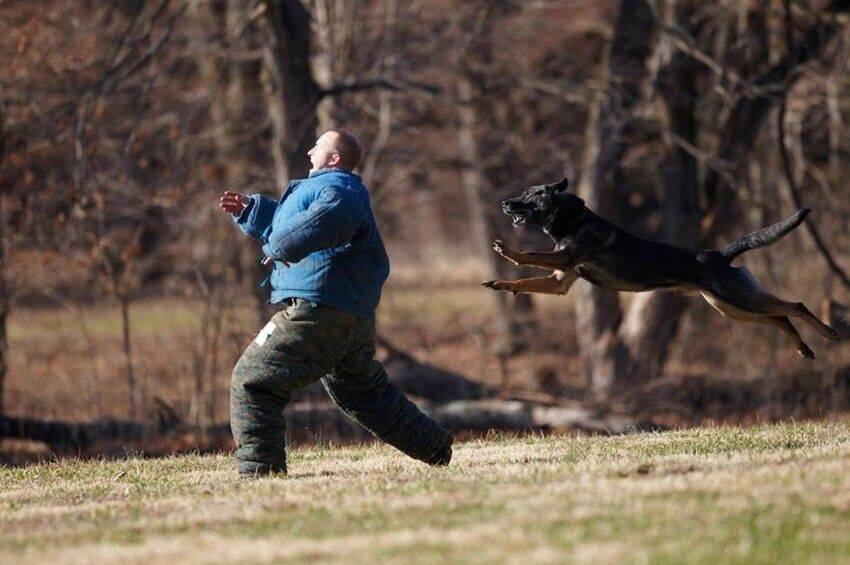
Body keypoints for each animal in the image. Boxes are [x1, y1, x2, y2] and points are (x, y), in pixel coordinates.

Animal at [480, 178, 840, 360]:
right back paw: (803, 347)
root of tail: (719, 254)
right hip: (730, 308)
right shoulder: (559, 281)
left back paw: (828, 333)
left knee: (794, 306)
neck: (572, 219)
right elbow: (526, 281)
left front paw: (508, 250)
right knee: (780, 318)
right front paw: (501, 283)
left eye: (530, 194)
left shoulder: (565, 260)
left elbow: (528, 254)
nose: (504, 203)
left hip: (738, 299)